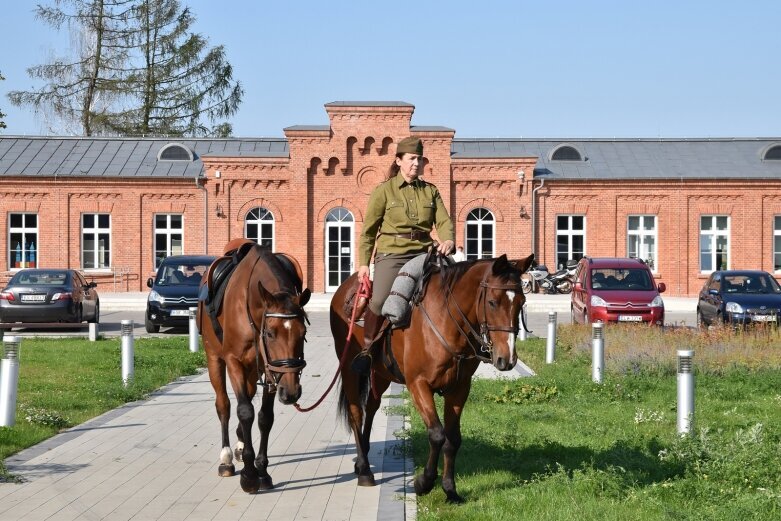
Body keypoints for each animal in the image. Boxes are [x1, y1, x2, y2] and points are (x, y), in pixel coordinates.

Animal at [197, 242, 312, 494]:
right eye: (270, 333)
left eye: (303, 333)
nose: (291, 392)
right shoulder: (234, 362)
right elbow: (244, 411)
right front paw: (249, 476)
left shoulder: (271, 371)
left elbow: (264, 418)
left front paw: (262, 470)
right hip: (214, 357)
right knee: (224, 404)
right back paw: (227, 458)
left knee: (248, 397)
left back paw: (240, 444)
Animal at [330, 254, 536, 502]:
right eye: (493, 302)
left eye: (521, 302)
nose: (507, 359)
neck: (446, 321)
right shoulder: (418, 385)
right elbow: (437, 434)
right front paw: (425, 482)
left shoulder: (459, 388)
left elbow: (453, 438)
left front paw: (450, 489)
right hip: (349, 369)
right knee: (356, 412)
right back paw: (365, 470)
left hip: (381, 372)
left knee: (371, 406)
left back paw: (364, 460)